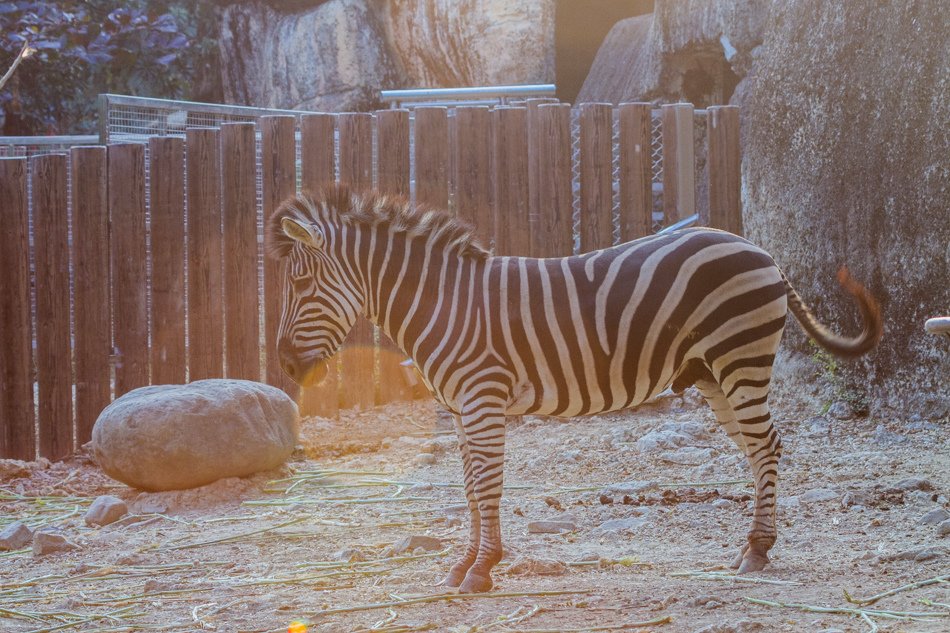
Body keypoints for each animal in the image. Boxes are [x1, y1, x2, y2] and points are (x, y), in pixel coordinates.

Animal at [268, 184, 884, 592]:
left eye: (301, 282)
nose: (283, 364)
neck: (443, 301)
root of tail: (760, 250)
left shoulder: (483, 396)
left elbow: (487, 486)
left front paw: (483, 568)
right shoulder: (464, 408)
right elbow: (469, 488)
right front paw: (465, 564)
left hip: (740, 360)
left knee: (766, 445)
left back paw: (756, 551)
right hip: (715, 374)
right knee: (762, 448)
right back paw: (757, 547)